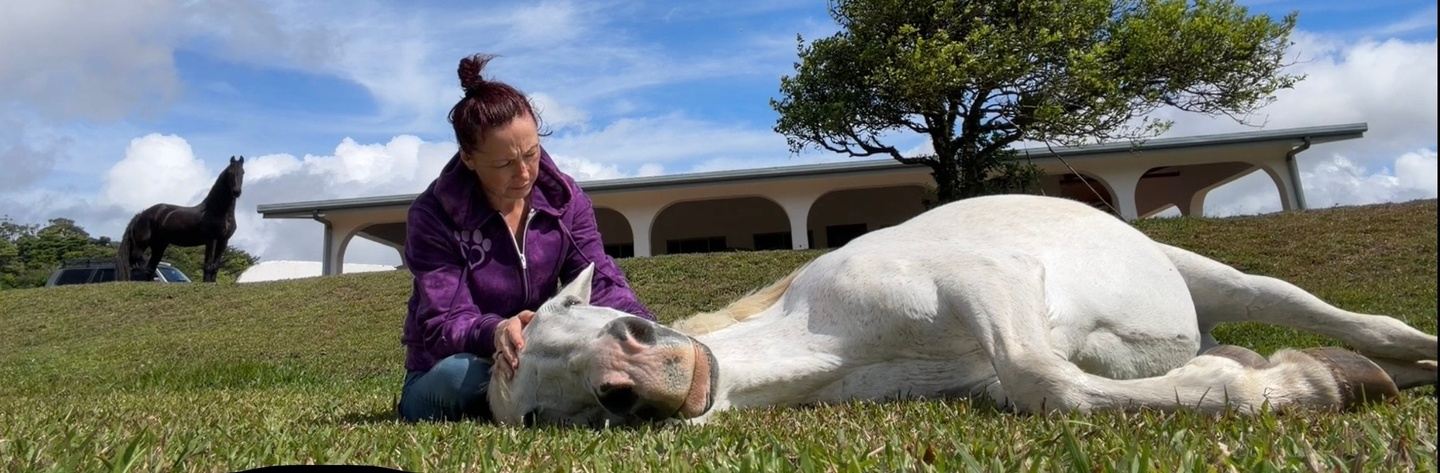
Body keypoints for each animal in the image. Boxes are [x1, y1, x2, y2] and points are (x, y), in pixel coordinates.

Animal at [116, 156, 244, 283]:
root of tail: (141, 214)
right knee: (137, 264)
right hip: (141, 246)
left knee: (149, 268)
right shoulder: (211, 239)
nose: (236, 192)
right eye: (230, 172)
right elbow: (208, 265)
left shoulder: (223, 240)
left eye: (242, 172)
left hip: (159, 246)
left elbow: (215, 266)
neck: (217, 211)